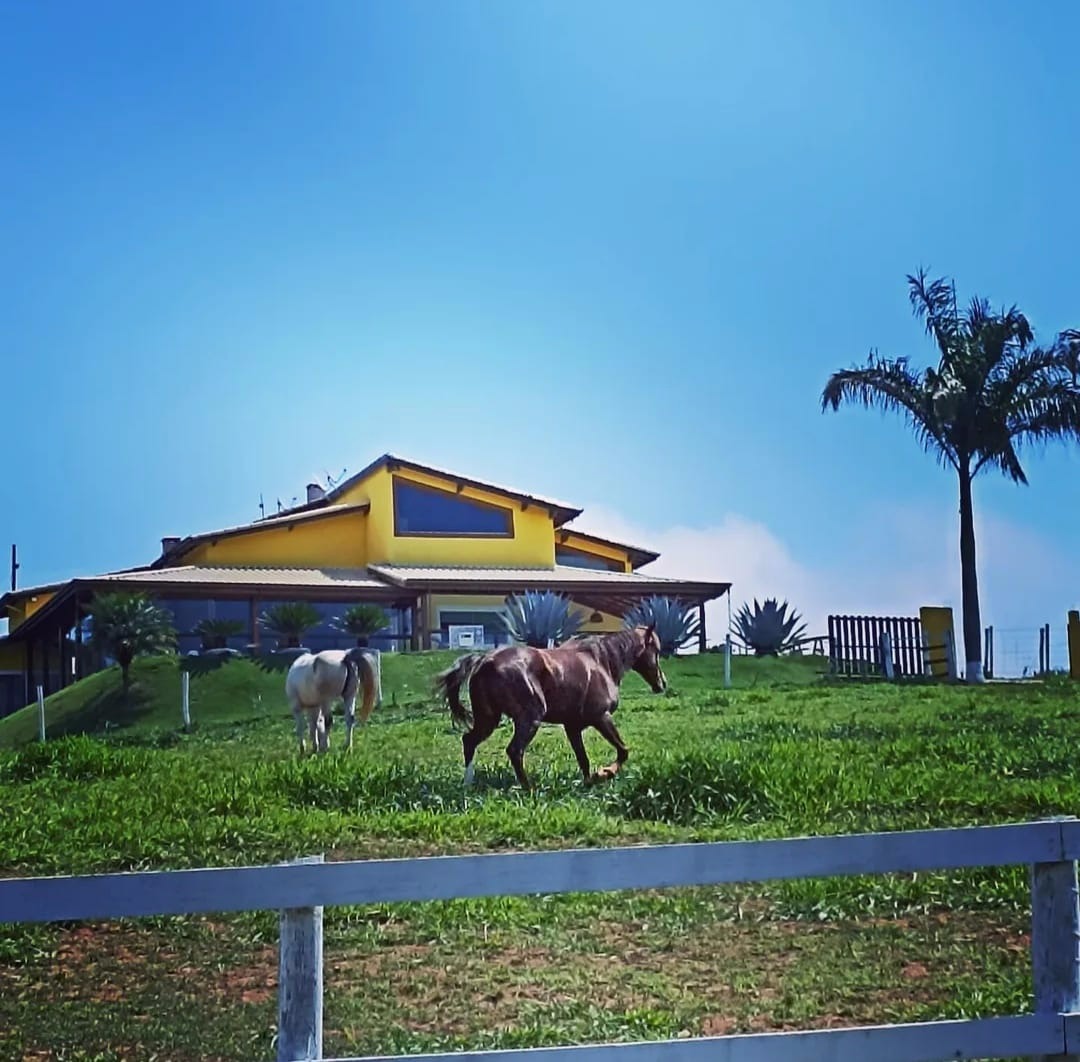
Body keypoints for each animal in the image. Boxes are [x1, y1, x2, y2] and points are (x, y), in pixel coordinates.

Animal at [429, 626, 665, 795]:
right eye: (656, 650)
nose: (662, 684)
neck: (602, 661)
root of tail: (484, 661)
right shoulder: (600, 717)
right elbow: (623, 751)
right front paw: (604, 774)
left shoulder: (573, 727)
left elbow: (583, 759)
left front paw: (589, 782)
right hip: (529, 719)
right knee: (514, 750)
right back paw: (529, 789)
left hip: (489, 719)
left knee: (469, 741)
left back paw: (468, 784)